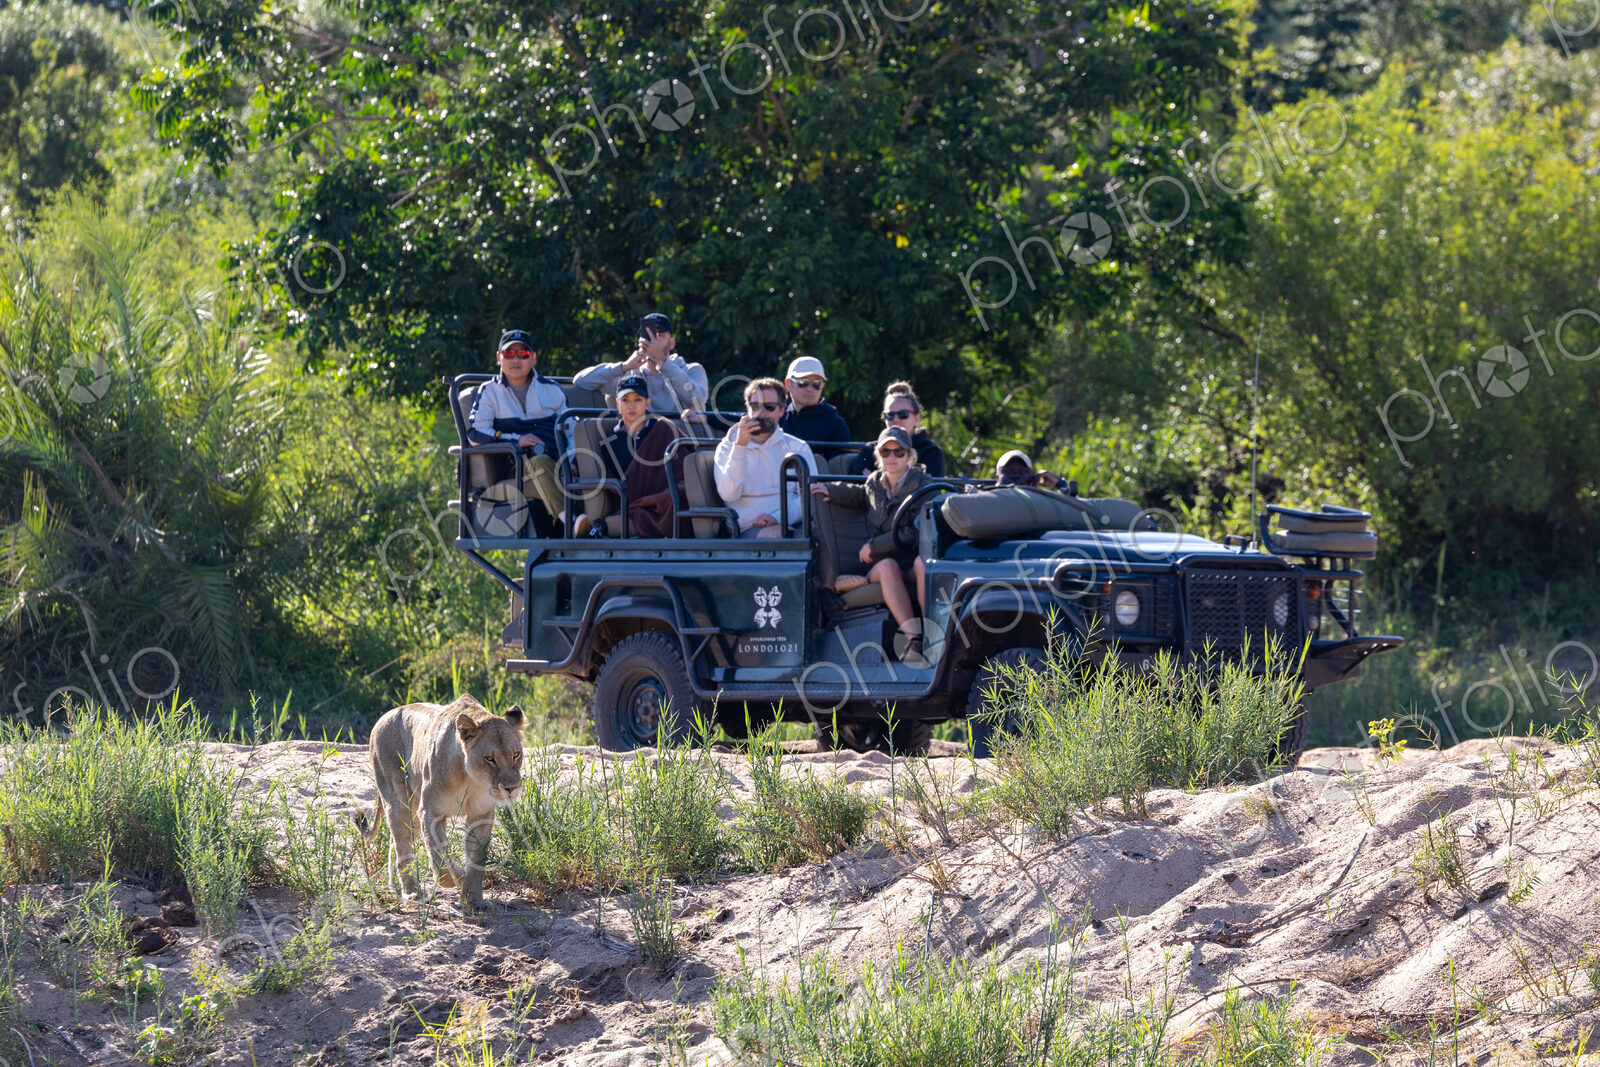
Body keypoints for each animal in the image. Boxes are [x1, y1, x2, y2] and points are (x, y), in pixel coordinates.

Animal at [360, 693, 526, 908]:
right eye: (489, 759)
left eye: (516, 754)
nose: (511, 788)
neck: (470, 777)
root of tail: (384, 716)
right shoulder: (431, 811)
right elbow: (439, 856)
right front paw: (458, 878)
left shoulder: (481, 814)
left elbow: (477, 858)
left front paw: (473, 899)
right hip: (398, 799)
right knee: (402, 842)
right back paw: (411, 892)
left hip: (413, 811)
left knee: (395, 842)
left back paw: (396, 886)